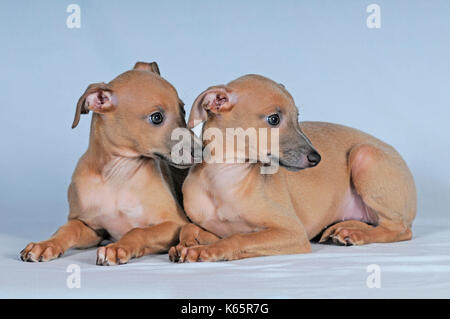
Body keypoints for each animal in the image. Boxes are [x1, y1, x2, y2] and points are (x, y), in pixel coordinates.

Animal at [20, 61, 190, 266]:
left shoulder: (176, 223)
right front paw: (46, 244)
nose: (201, 150)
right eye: (156, 117)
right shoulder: (92, 228)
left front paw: (118, 248)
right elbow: (69, 228)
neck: (117, 177)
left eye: (183, 110)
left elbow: (139, 231)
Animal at [170, 74, 418, 262]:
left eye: (298, 117)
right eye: (273, 119)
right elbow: (188, 228)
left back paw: (357, 234)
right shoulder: (213, 228)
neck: (224, 177)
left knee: (399, 228)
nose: (317, 158)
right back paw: (346, 229)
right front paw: (186, 244)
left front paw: (208, 250)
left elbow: (240, 238)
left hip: (364, 156)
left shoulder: (292, 231)